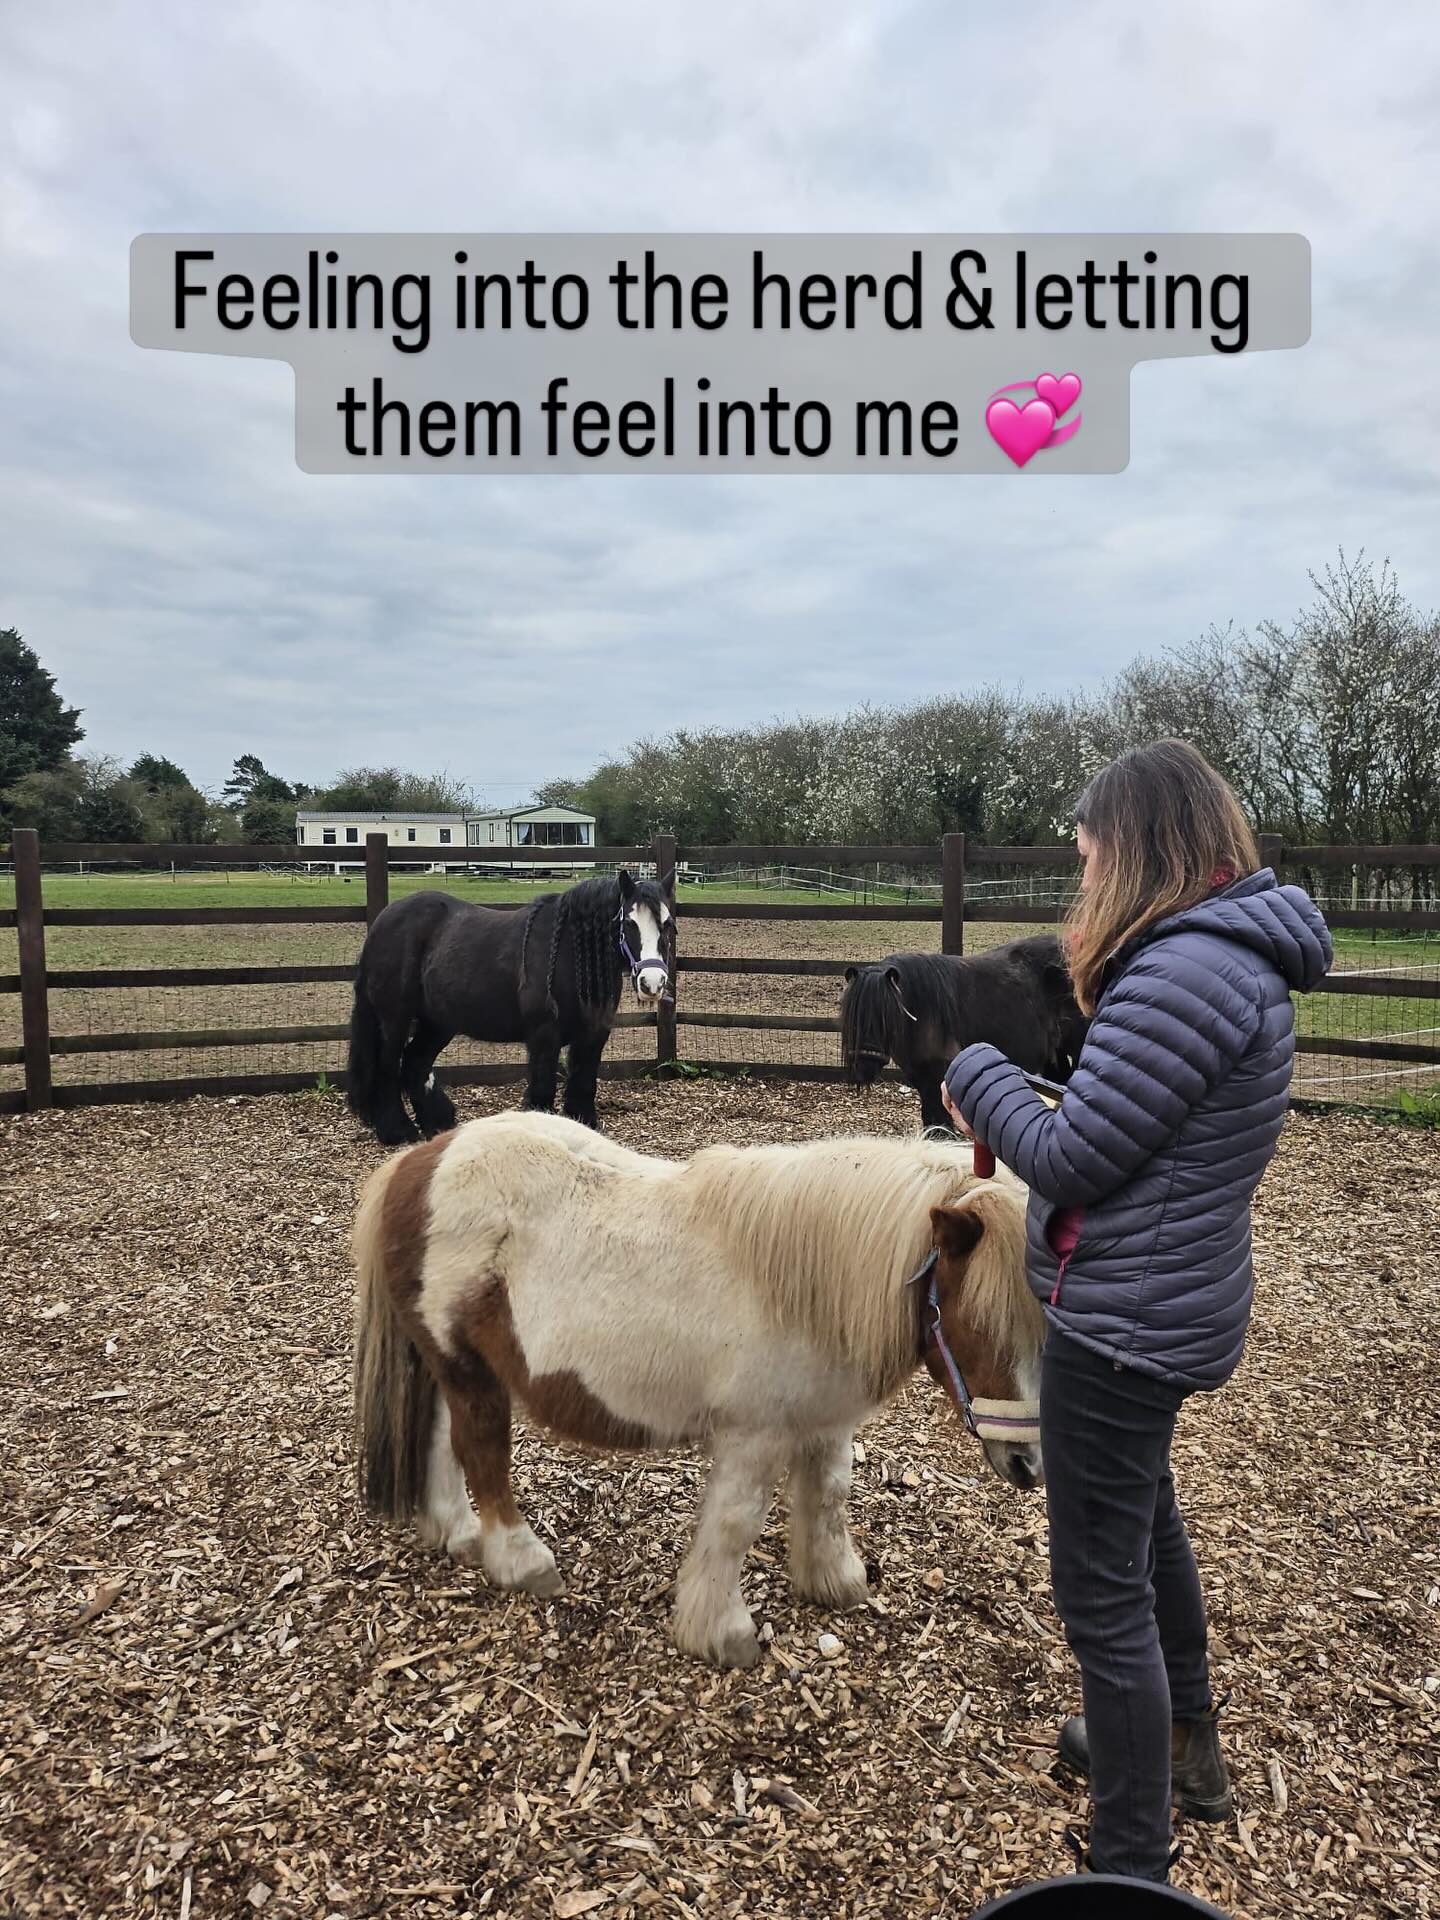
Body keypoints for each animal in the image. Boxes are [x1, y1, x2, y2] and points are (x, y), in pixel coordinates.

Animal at [345, 869, 673, 1145]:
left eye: (668, 925)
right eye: (629, 923)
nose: (652, 982)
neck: (568, 953)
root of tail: (382, 922)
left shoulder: (593, 1034)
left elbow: (583, 1082)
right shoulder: (544, 1035)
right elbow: (542, 1088)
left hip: (438, 1022)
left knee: (416, 1061)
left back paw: (437, 1123)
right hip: (393, 1019)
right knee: (388, 1065)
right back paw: (397, 1131)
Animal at [352, 1110, 1043, 1668]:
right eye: (978, 1320)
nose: (1028, 1464)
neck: (803, 1285)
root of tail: (420, 1159)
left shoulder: (825, 1423)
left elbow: (828, 1496)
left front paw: (835, 1582)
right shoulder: (754, 1437)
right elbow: (735, 1524)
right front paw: (721, 1633)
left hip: (456, 1368)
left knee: (441, 1441)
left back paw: (457, 1532)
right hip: (468, 1371)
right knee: (481, 1452)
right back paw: (522, 1560)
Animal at [840, 934, 1089, 1133]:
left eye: (886, 1015)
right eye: (853, 1014)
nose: (863, 1068)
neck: (922, 1009)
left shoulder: (937, 1078)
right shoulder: (922, 1080)